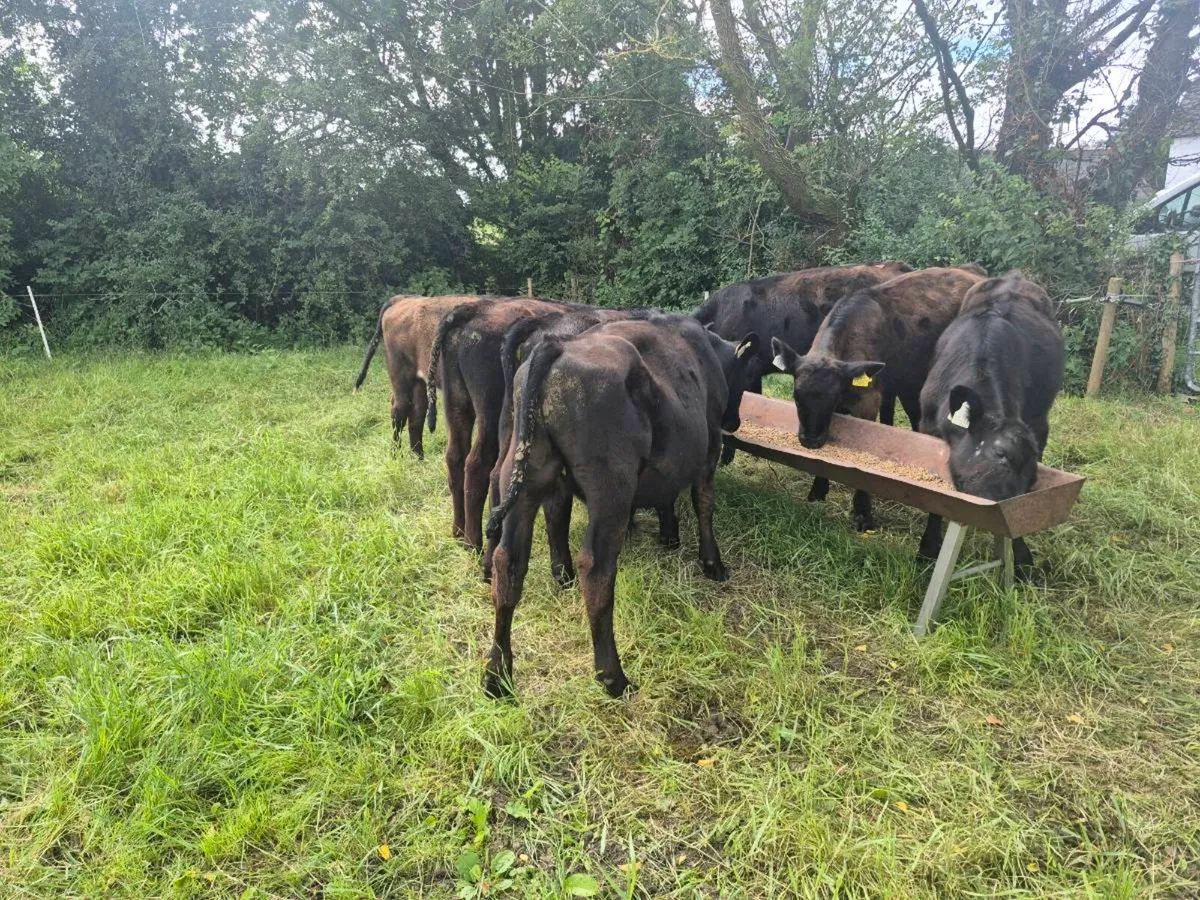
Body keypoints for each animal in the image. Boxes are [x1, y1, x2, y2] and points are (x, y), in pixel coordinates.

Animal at [352, 294, 483, 459]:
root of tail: (404, 299)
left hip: (419, 380)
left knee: (416, 413)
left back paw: (419, 456)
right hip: (401, 374)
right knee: (399, 411)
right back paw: (396, 455)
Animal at [483, 314, 762, 699]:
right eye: (749, 377)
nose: (735, 421)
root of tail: (556, 346)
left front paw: (668, 535)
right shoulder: (709, 451)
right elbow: (704, 504)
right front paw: (712, 562)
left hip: (526, 475)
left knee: (509, 563)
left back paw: (498, 675)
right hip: (610, 487)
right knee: (596, 569)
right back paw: (613, 677)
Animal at [770, 266, 987, 532]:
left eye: (832, 397)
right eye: (796, 395)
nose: (810, 440)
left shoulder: (867, 402)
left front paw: (863, 513)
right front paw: (818, 490)